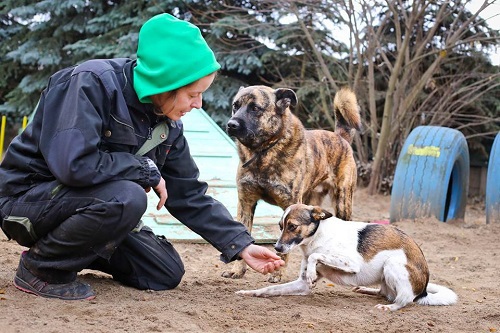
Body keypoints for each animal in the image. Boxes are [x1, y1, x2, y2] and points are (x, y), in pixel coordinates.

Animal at [225, 84, 362, 282]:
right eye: (235, 106)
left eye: (255, 108)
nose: (231, 124)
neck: (263, 152)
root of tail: (340, 137)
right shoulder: (246, 202)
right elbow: (244, 236)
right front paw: (237, 269)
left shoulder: (290, 205)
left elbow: (284, 247)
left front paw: (277, 273)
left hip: (343, 202)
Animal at [236, 202, 458, 312]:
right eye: (281, 226)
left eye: (293, 226)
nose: (277, 247)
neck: (319, 236)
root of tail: (423, 292)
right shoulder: (302, 285)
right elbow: (269, 289)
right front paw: (250, 293)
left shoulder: (351, 263)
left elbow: (315, 256)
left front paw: (312, 269)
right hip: (386, 276)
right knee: (384, 292)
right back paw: (367, 290)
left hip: (393, 264)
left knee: (404, 299)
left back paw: (390, 307)